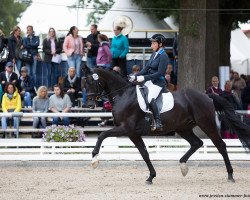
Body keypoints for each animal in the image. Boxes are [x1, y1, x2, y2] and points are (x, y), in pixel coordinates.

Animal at [84, 67, 250, 184]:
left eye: (92, 82)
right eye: (84, 83)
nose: (90, 105)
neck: (123, 95)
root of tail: (206, 95)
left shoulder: (127, 129)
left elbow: (102, 135)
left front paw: (94, 159)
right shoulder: (133, 133)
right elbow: (144, 153)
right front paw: (151, 177)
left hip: (206, 124)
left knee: (220, 145)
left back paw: (230, 175)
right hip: (183, 128)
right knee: (197, 143)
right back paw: (183, 165)